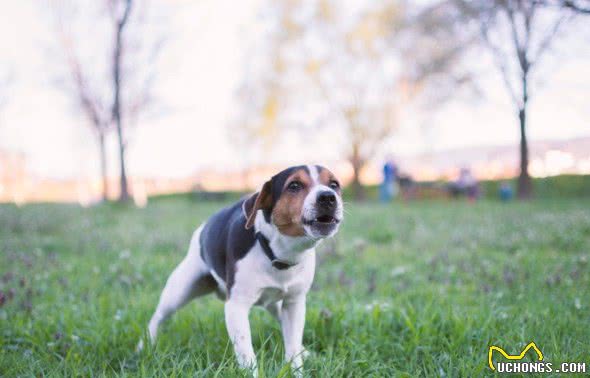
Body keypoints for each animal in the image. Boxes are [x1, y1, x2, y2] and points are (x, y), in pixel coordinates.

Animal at [140, 165, 344, 376]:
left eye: (334, 185)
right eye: (294, 185)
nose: (328, 197)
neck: (276, 254)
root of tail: (204, 226)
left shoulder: (294, 303)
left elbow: (293, 347)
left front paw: (297, 369)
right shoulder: (236, 306)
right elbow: (246, 353)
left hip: (276, 305)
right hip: (179, 291)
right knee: (157, 317)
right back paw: (145, 346)